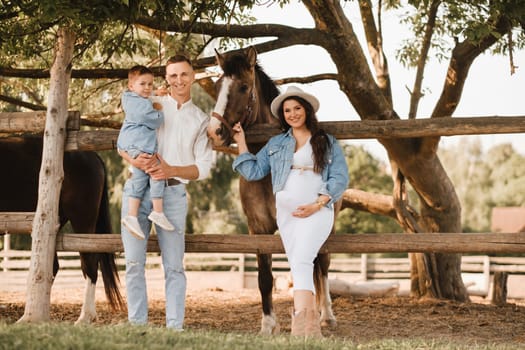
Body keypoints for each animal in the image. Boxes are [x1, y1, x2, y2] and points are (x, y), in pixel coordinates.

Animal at [207, 46, 338, 334]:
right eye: (218, 85)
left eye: (243, 87)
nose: (213, 132)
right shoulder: (258, 229)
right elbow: (264, 277)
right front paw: (268, 324)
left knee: (322, 266)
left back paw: (326, 315)